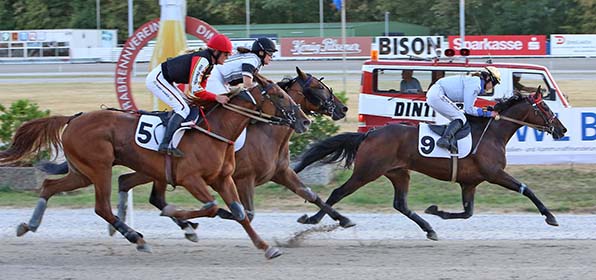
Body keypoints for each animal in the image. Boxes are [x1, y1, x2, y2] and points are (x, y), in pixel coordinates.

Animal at [0, 73, 308, 260]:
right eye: (279, 96)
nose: (304, 121)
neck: (217, 131)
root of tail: (74, 118)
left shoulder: (224, 178)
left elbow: (241, 212)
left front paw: (266, 248)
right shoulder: (190, 178)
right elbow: (210, 207)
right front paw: (180, 217)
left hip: (82, 171)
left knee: (49, 186)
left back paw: (29, 225)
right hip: (99, 167)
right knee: (102, 207)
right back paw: (136, 237)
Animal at [294, 90, 568, 241]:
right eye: (545, 107)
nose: (562, 129)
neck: (492, 133)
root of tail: (369, 134)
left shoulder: (470, 182)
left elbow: (467, 212)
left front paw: (436, 211)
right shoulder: (495, 173)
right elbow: (526, 189)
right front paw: (550, 216)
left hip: (398, 173)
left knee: (401, 204)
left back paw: (429, 229)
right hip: (367, 171)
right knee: (338, 192)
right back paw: (318, 219)